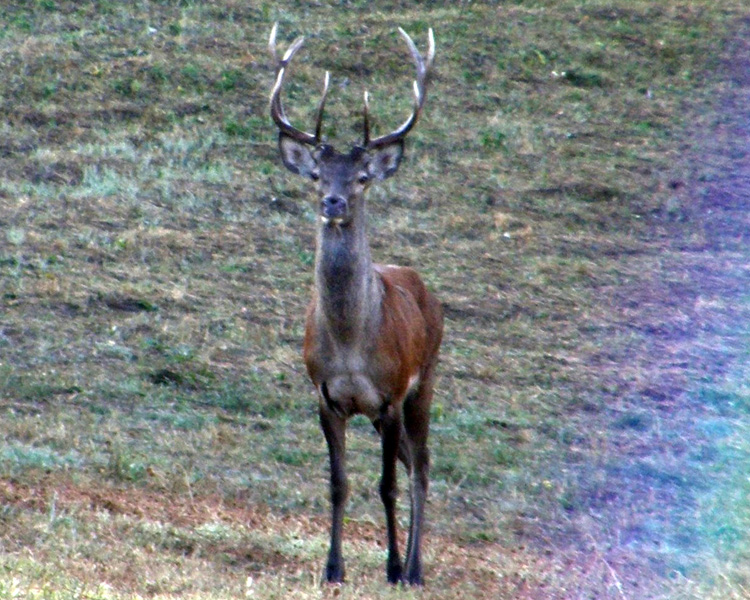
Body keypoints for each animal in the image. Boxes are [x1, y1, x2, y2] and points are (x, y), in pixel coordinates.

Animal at [270, 24, 444, 584]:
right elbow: (338, 484)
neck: (350, 346)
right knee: (413, 463)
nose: (334, 201)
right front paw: (332, 568)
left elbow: (386, 487)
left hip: (425, 381)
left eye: (361, 177)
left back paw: (414, 568)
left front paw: (391, 567)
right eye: (317, 175)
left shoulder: (388, 396)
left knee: (421, 468)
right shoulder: (327, 396)